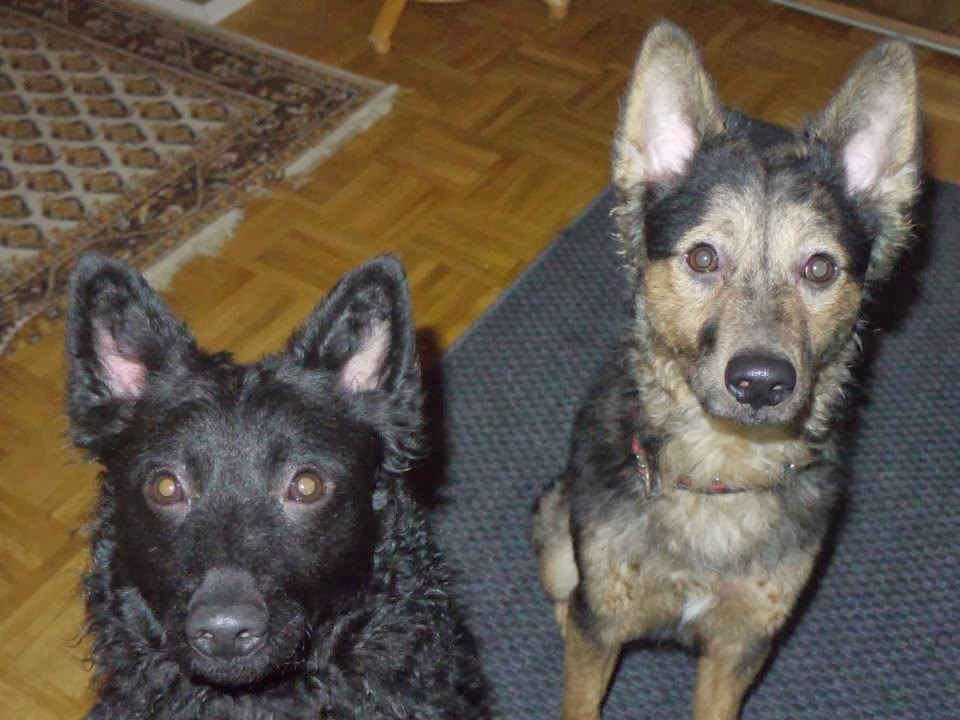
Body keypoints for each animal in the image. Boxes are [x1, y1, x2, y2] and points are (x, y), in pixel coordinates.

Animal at [531, 21, 920, 720]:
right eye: (704, 257)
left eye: (819, 267)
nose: (761, 381)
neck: (720, 469)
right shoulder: (602, 621)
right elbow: (583, 680)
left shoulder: (742, 644)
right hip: (557, 532)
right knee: (564, 601)